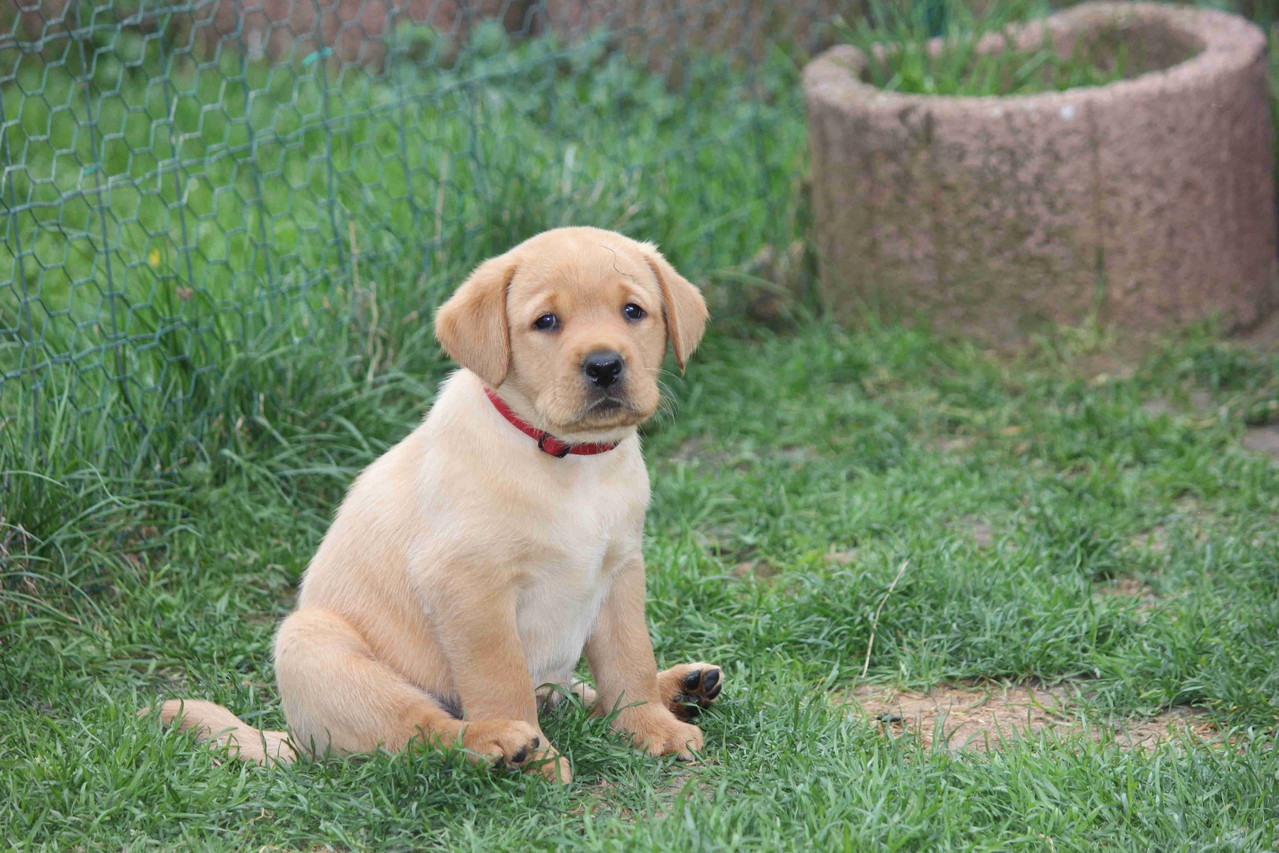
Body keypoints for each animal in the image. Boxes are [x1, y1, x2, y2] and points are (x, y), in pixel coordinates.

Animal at [149, 225, 721, 782]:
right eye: (546, 321)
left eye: (633, 311)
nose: (605, 365)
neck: (566, 458)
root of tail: (296, 741)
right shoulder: (467, 584)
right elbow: (501, 680)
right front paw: (538, 759)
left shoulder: (620, 569)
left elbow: (630, 661)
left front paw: (650, 725)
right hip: (315, 641)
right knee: (425, 730)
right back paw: (500, 743)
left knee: (578, 695)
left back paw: (682, 686)